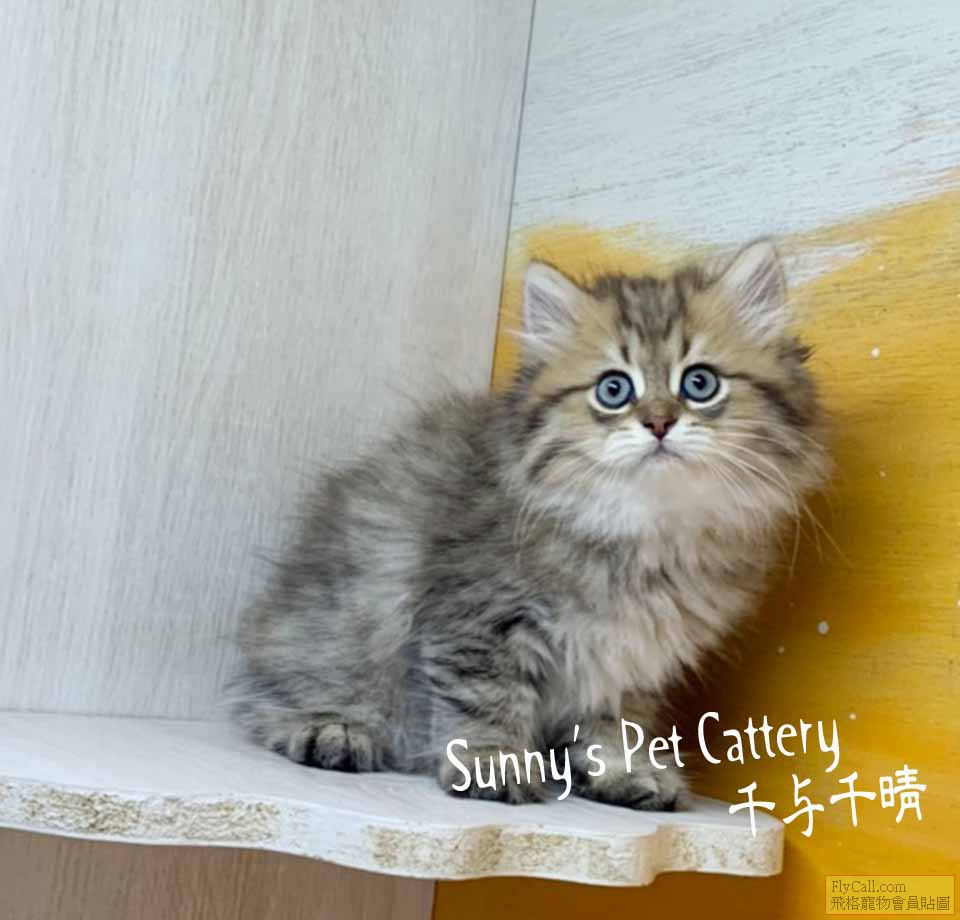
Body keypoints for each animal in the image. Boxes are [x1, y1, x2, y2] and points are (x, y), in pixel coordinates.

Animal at [229, 240, 828, 809]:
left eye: (699, 383)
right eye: (614, 389)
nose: (659, 422)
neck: (644, 535)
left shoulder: (631, 666)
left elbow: (616, 728)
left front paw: (622, 773)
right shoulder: (476, 617)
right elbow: (487, 700)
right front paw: (494, 764)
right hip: (332, 635)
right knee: (274, 701)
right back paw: (332, 730)